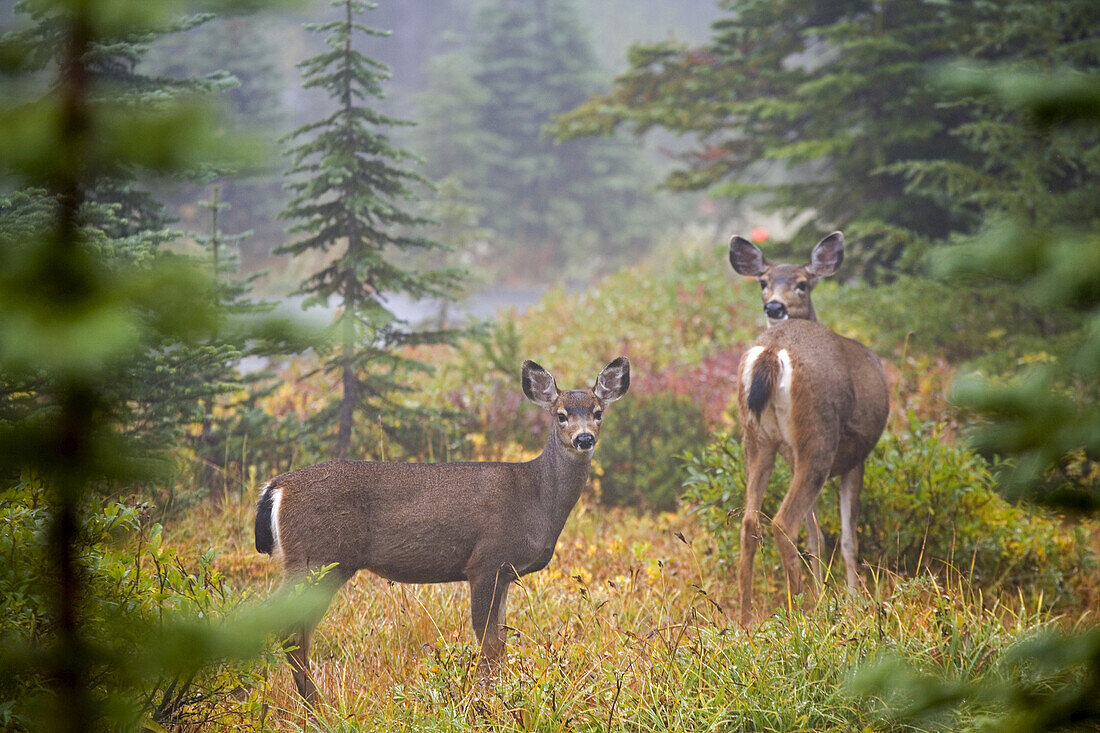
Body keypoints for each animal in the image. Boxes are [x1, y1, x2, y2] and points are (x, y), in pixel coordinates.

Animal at [251, 354, 629, 704]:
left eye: (598, 412)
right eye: (561, 414)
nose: (584, 438)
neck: (536, 498)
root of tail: (277, 486)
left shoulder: (505, 572)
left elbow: (501, 640)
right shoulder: (485, 561)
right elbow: (489, 642)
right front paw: (486, 700)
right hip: (317, 558)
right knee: (287, 628)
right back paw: (317, 706)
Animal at [726, 232, 888, 620]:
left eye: (802, 283)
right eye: (763, 282)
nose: (774, 307)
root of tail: (772, 351)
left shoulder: (792, 455)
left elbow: (817, 537)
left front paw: (822, 594)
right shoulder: (856, 457)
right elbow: (847, 537)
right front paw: (850, 601)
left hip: (758, 439)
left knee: (750, 521)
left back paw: (745, 619)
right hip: (820, 436)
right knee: (784, 522)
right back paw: (798, 612)